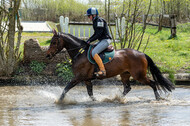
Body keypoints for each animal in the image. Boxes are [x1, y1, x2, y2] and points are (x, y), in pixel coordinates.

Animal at [46, 29, 175, 102]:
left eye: (54, 42)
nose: (47, 55)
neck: (80, 53)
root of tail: (142, 53)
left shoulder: (78, 78)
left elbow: (66, 88)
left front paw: (59, 101)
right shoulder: (87, 79)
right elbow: (90, 93)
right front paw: (95, 100)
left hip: (139, 76)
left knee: (152, 83)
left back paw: (157, 98)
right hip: (125, 74)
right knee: (127, 88)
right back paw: (117, 98)